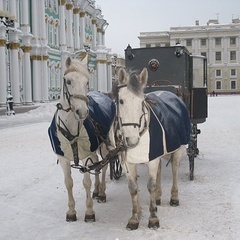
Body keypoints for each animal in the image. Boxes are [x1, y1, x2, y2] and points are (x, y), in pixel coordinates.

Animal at [48, 55, 113, 221]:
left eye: (86, 82)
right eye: (68, 81)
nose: (82, 111)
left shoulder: (86, 157)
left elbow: (86, 182)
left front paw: (89, 211)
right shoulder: (63, 159)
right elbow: (68, 183)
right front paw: (71, 211)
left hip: (104, 146)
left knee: (104, 166)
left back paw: (101, 193)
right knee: (97, 165)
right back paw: (97, 191)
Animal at [110, 67, 191, 229]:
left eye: (142, 101)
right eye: (121, 101)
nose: (132, 139)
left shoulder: (152, 158)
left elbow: (150, 186)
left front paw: (153, 218)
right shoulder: (128, 162)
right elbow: (133, 188)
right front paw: (135, 217)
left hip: (178, 149)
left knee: (174, 169)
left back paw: (174, 197)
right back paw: (158, 197)